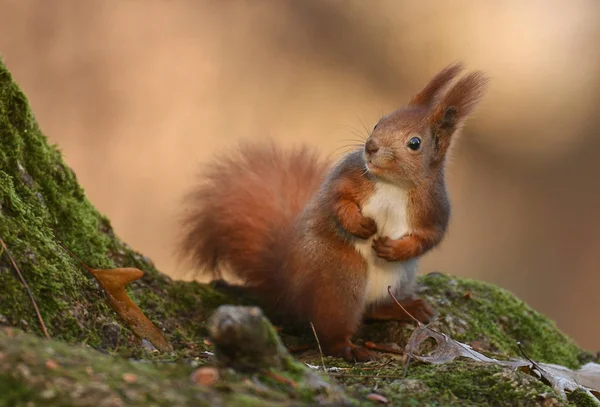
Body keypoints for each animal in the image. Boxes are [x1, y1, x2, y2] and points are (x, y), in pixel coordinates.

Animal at [178, 63, 488, 364]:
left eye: (415, 143)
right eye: (379, 122)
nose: (370, 147)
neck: (394, 185)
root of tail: (287, 288)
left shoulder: (434, 209)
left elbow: (429, 238)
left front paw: (394, 248)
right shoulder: (348, 175)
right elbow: (337, 200)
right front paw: (359, 225)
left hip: (398, 277)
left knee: (371, 310)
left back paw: (404, 308)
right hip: (340, 281)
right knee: (331, 330)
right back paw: (350, 348)